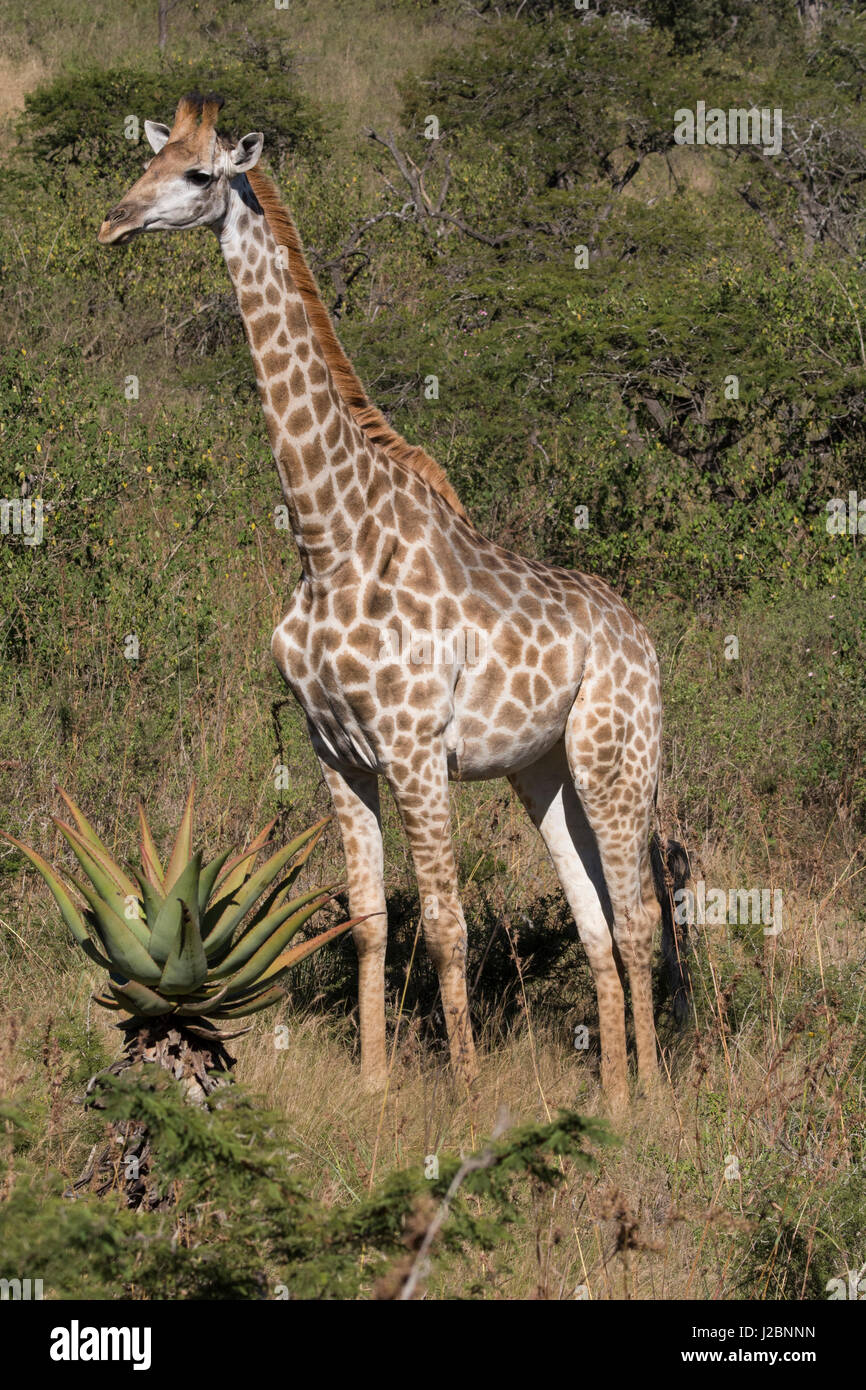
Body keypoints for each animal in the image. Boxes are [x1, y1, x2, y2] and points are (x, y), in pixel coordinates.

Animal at [98, 94, 687, 1112]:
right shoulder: (334, 748)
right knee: (597, 922)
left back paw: (648, 1095)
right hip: (544, 771)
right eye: (149, 163)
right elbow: (369, 918)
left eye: (199, 175)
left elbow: (446, 925)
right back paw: (611, 1091)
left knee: (641, 913)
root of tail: (642, 638)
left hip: (619, 758)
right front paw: (374, 1083)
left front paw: (468, 1094)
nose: (115, 221)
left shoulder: (414, 749)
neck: (327, 540)